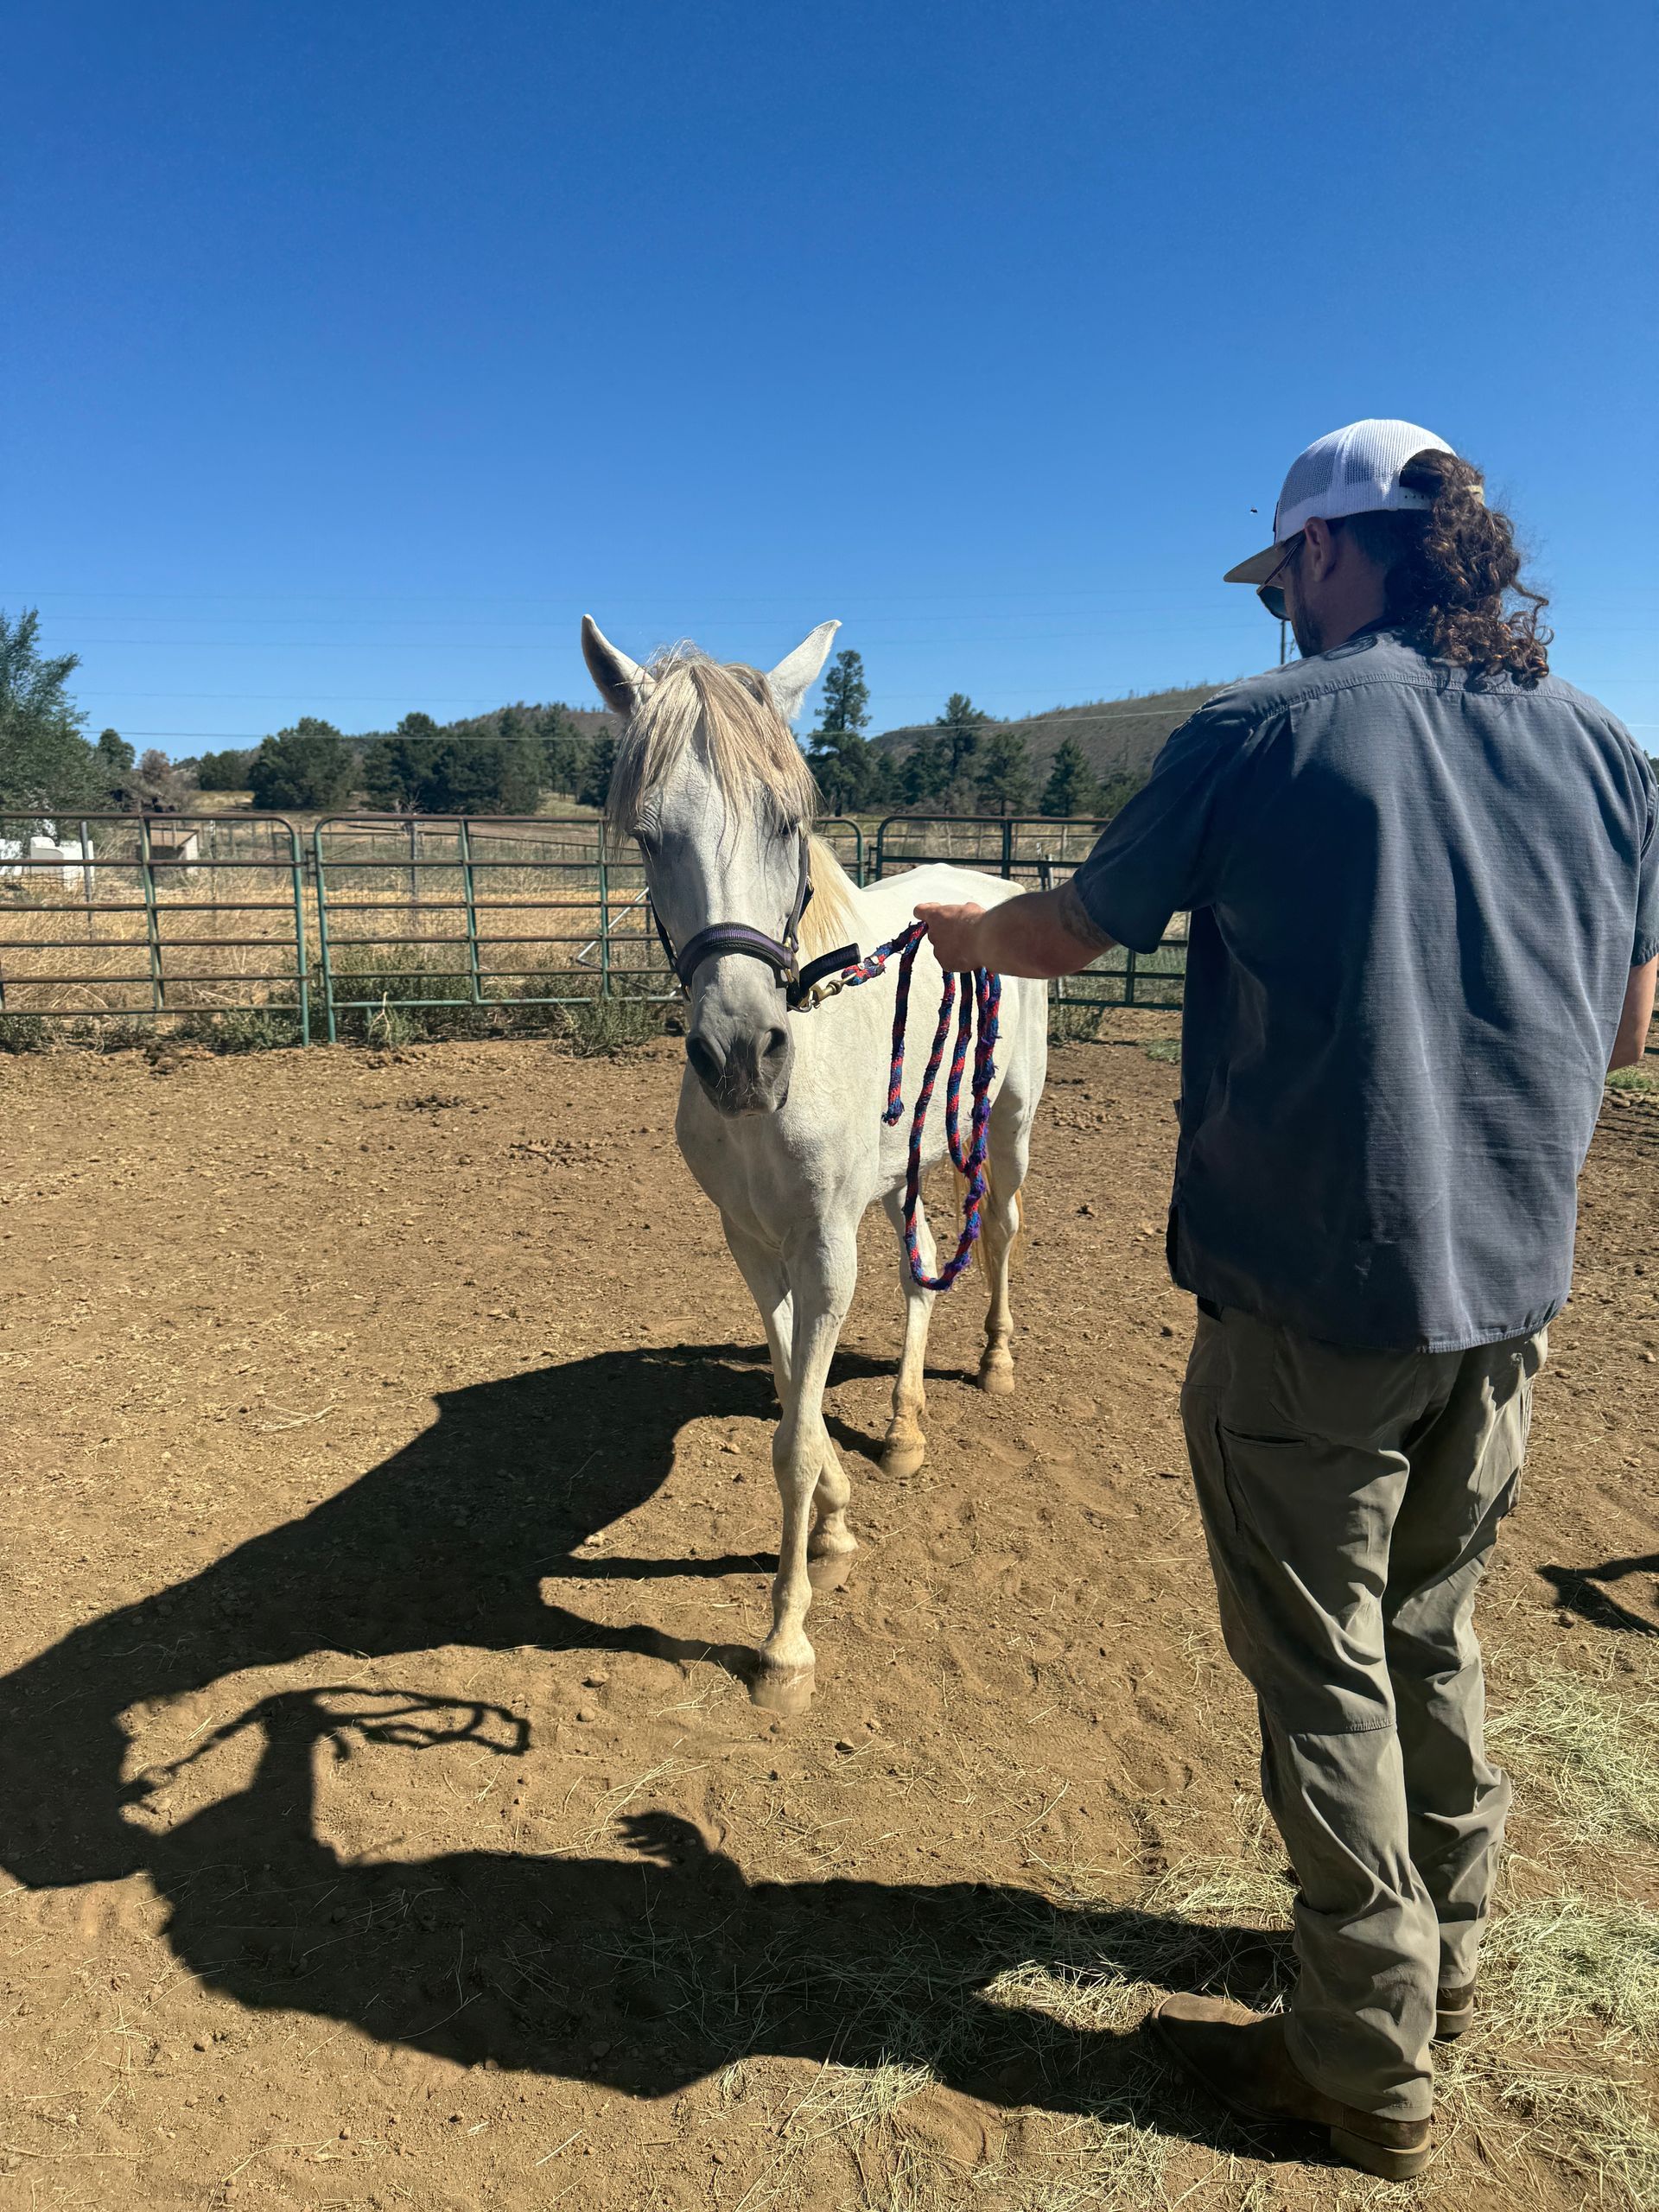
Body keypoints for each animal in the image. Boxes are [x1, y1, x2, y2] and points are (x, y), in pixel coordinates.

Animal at [582, 617, 1049, 1711]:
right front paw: (837, 1523)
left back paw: (996, 1362)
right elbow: (796, 1384)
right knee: (922, 1269)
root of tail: (988, 889)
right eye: (648, 835)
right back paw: (906, 1427)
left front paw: (785, 1642)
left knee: (999, 1233)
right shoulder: (755, 1244)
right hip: (900, 1170)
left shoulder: (824, 1245)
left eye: (788, 822)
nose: (742, 1056)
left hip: (1007, 1123)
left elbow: (793, 1439)